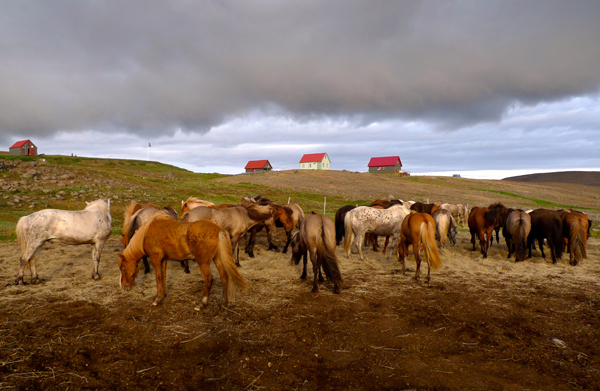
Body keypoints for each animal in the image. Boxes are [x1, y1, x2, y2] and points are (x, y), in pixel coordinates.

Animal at [118, 214, 247, 310]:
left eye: (123, 268)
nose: (124, 288)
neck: (147, 233)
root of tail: (219, 230)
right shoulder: (163, 259)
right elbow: (163, 275)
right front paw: (164, 294)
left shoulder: (156, 259)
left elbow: (158, 277)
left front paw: (157, 299)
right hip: (218, 259)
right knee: (224, 278)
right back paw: (224, 303)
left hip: (203, 262)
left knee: (209, 279)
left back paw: (202, 303)